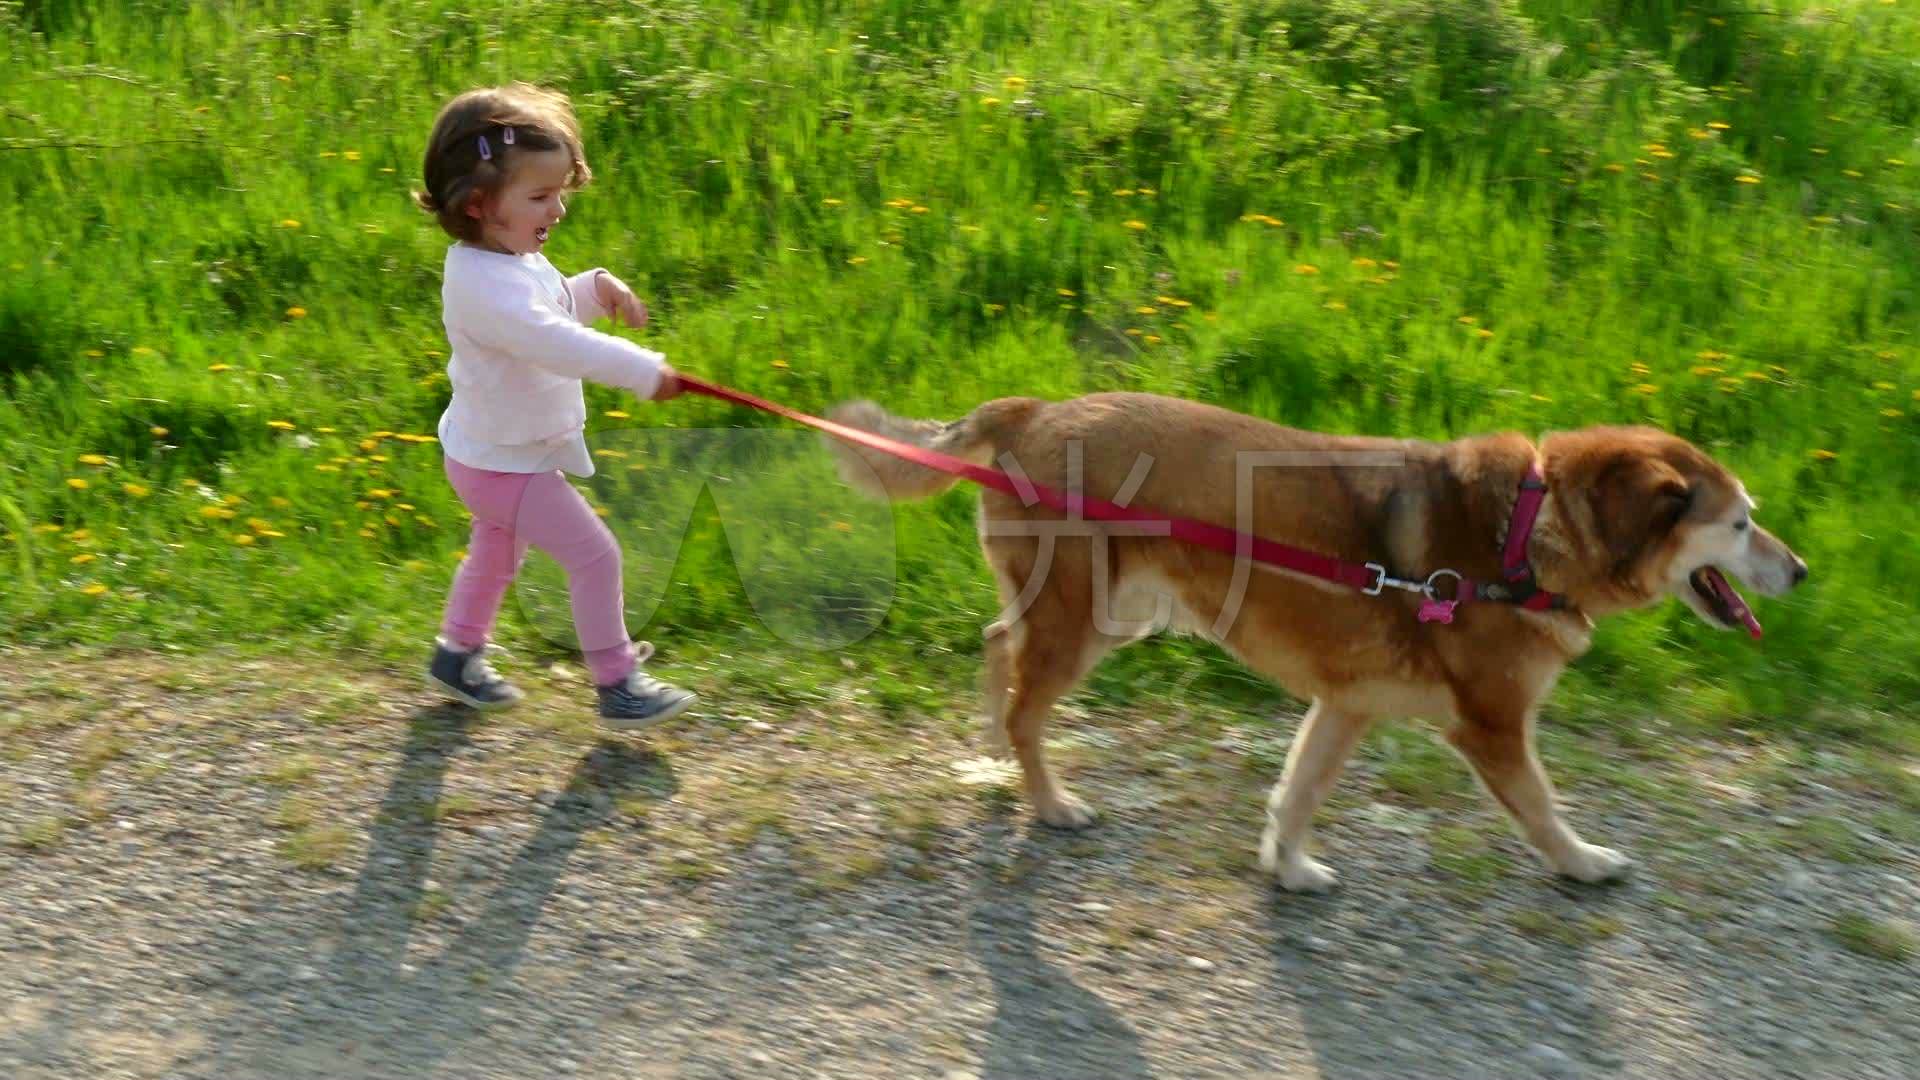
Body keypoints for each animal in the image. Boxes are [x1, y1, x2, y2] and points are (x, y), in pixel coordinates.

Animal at [833, 390, 1804, 887]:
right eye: (1741, 524)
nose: (1799, 571)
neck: (1535, 527)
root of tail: (1032, 411)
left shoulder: (1344, 709)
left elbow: (1297, 792)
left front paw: (1288, 867)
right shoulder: (1491, 728)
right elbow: (1541, 808)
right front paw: (1581, 861)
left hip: (1103, 612)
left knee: (1001, 647)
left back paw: (994, 746)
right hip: (1085, 619)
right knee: (1027, 706)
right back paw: (1048, 801)